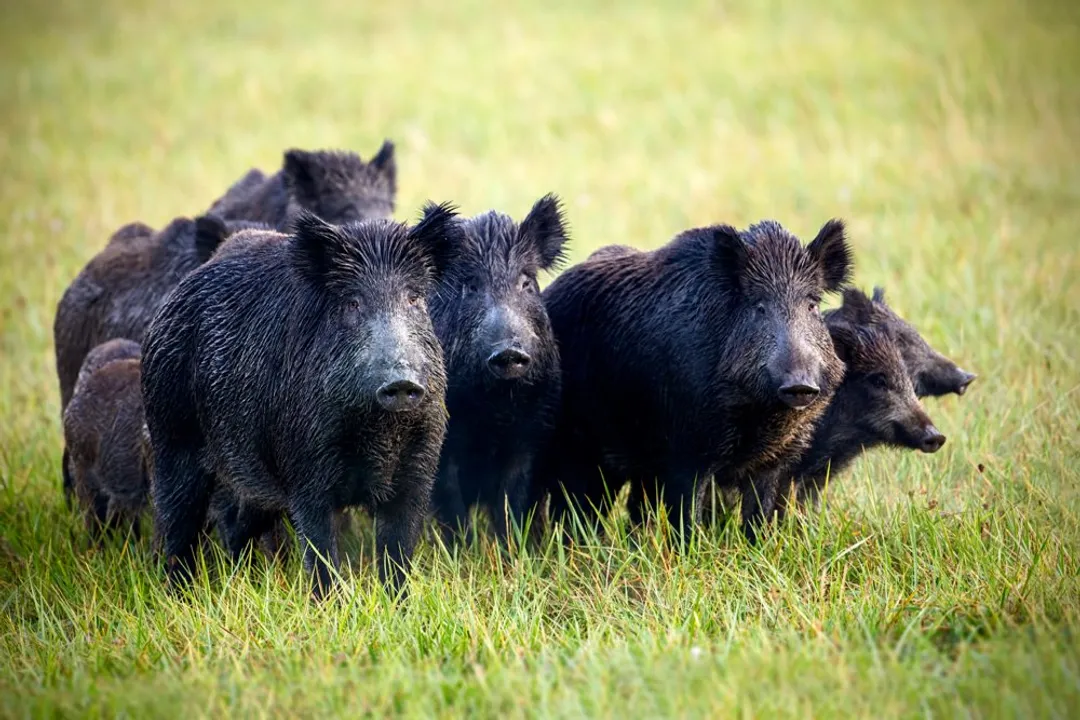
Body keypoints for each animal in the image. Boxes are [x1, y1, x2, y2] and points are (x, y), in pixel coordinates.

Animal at [141, 205, 461, 598]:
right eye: (352, 303)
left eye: (414, 299)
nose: (401, 381)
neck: (378, 430)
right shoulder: (306, 470)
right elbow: (322, 554)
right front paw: (330, 605)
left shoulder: (418, 470)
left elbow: (397, 555)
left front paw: (398, 604)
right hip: (171, 437)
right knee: (177, 525)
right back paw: (179, 594)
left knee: (236, 525)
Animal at [428, 194, 569, 544]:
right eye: (471, 286)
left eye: (526, 282)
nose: (509, 351)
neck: (495, 407)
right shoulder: (444, 446)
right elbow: (452, 505)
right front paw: (464, 551)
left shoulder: (532, 434)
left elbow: (512, 501)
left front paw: (514, 550)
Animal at [538, 218, 853, 540]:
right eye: (759, 306)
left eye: (812, 305)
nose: (800, 384)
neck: (759, 414)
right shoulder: (687, 450)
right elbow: (688, 517)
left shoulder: (774, 460)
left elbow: (759, 518)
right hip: (578, 447)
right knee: (576, 507)